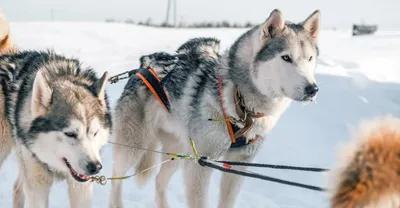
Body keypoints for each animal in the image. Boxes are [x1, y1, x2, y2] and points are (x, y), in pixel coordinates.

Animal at [0, 15, 112, 208]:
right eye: (70, 134)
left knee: (17, 188)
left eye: (95, 133)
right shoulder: (37, 181)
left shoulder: (80, 186)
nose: (95, 167)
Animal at [110, 8, 322, 208]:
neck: (239, 102)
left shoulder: (237, 165)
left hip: (180, 152)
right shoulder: (200, 165)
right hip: (134, 147)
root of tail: (145, 63)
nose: (313, 89)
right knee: (116, 178)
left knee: (159, 180)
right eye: (286, 57)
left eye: (310, 58)